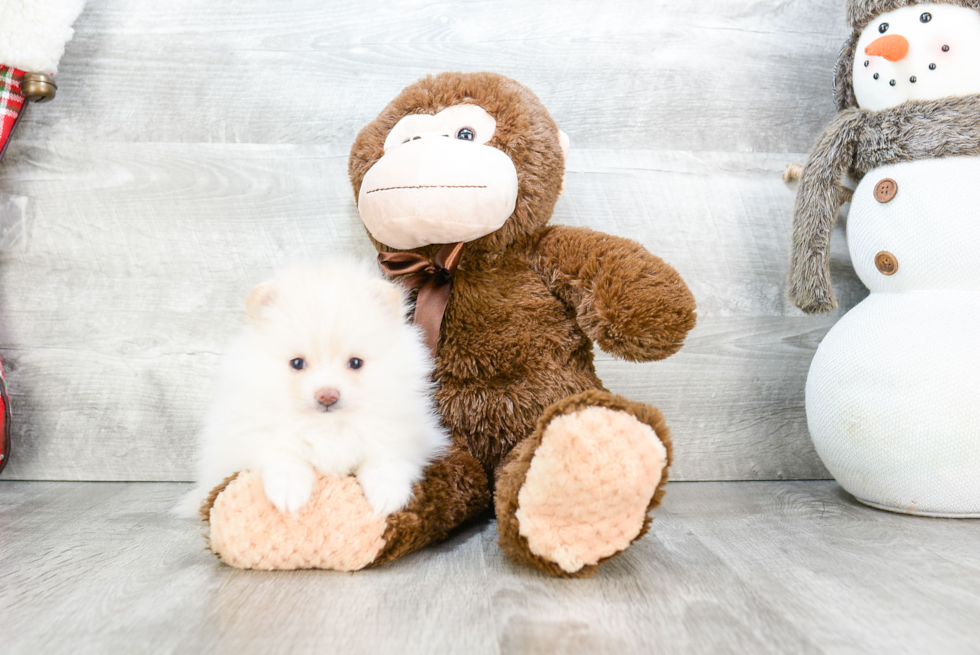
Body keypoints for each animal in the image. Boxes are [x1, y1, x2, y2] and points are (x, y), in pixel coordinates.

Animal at [180, 256, 448, 516]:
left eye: (355, 363)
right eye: (297, 363)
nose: (327, 395)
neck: (327, 426)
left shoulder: (402, 434)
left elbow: (386, 461)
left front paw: (386, 496)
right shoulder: (252, 436)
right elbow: (283, 456)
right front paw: (289, 493)